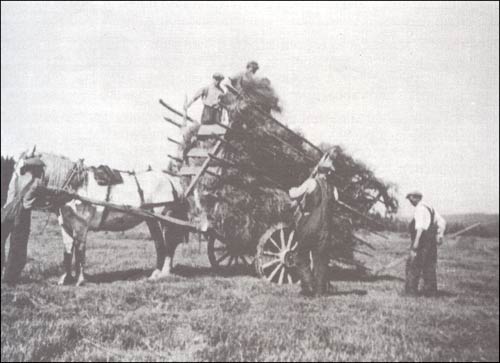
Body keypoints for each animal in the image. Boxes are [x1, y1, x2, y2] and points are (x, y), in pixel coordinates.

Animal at [5, 149, 189, 286]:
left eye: (22, 170)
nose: (10, 199)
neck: (74, 186)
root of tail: (171, 179)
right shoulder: (65, 226)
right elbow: (67, 251)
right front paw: (65, 279)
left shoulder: (81, 226)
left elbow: (80, 251)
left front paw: (80, 280)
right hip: (151, 220)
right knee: (159, 244)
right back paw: (155, 274)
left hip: (164, 217)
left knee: (169, 245)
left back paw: (164, 274)